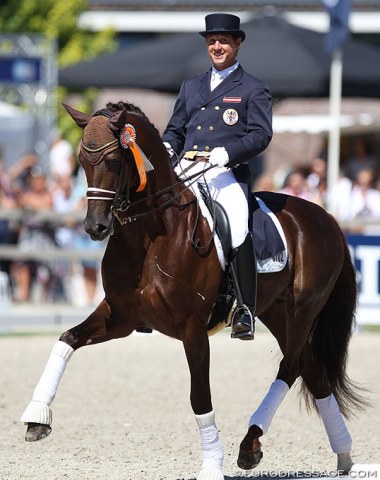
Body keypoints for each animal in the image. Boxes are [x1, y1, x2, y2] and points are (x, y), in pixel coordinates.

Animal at [20, 101, 366, 480]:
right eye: (81, 160)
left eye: (112, 160)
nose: (94, 227)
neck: (152, 234)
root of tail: (326, 218)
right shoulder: (121, 317)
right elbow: (67, 339)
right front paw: (36, 417)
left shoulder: (192, 327)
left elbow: (199, 396)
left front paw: (212, 465)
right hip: (277, 312)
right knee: (311, 368)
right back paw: (344, 456)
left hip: (303, 308)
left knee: (290, 366)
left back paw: (250, 446)